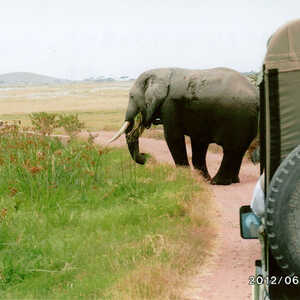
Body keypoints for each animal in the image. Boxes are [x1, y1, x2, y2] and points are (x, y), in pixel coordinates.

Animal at [108, 68, 258, 185]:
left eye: (132, 97)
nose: (147, 155)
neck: (161, 72)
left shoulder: (170, 105)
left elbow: (173, 137)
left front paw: (185, 177)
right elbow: (199, 143)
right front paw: (201, 179)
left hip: (240, 118)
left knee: (232, 150)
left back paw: (217, 182)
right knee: (237, 150)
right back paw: (230, 181)